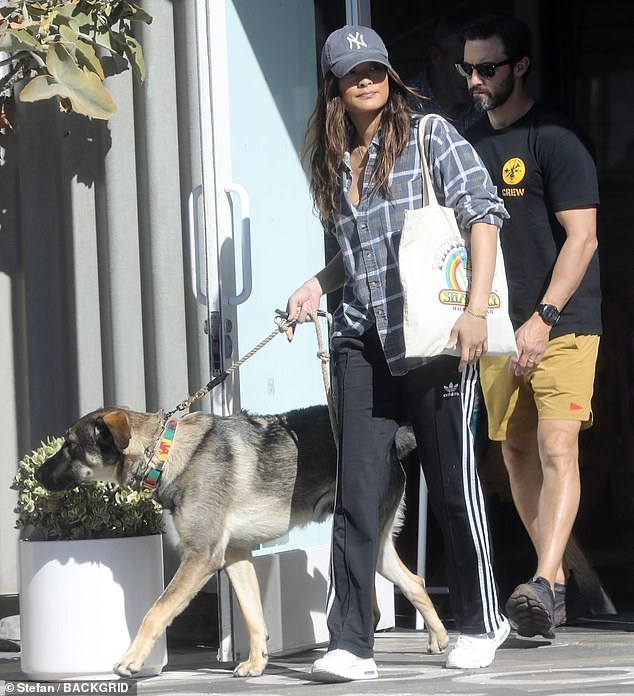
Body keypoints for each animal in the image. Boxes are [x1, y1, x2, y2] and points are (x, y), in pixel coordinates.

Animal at [35, 406, 450, 676]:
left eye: (70, 446)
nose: (36, 473)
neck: (167, 452)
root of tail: (394, 439)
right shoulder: (234, 556)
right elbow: (253, 615)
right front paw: (256, 662)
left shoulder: (201, 557)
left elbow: (156, 612)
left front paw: (131, 661)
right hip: (379, 549)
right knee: (415, 582)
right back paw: (439, 640)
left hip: (361, 537)